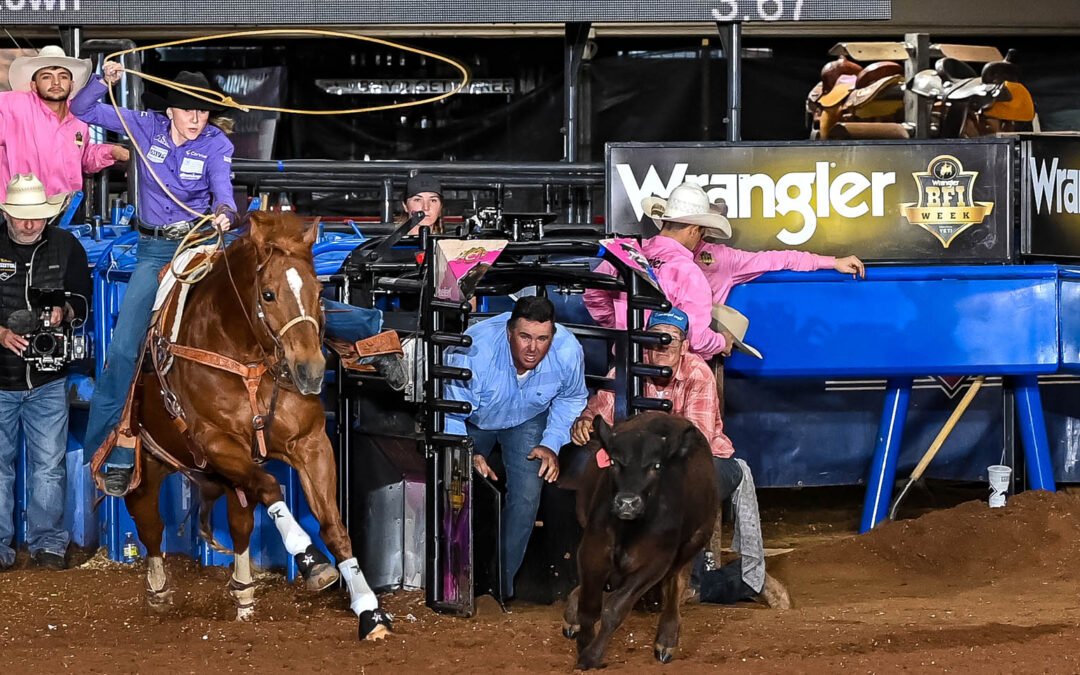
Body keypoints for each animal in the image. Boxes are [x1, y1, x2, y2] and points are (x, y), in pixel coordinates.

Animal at [121, 211, 391, 640]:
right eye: (268, 294)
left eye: (319, 291)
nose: (311, 370)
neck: (244, 358)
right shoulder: (217, 443)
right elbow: (271, 487)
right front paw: (313, 562)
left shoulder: (310, 444)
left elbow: (333, 525)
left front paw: (369, 610)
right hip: (147, 465)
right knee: (149, 522)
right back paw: (159, 593)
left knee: (240, 523)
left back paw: (244, 596)